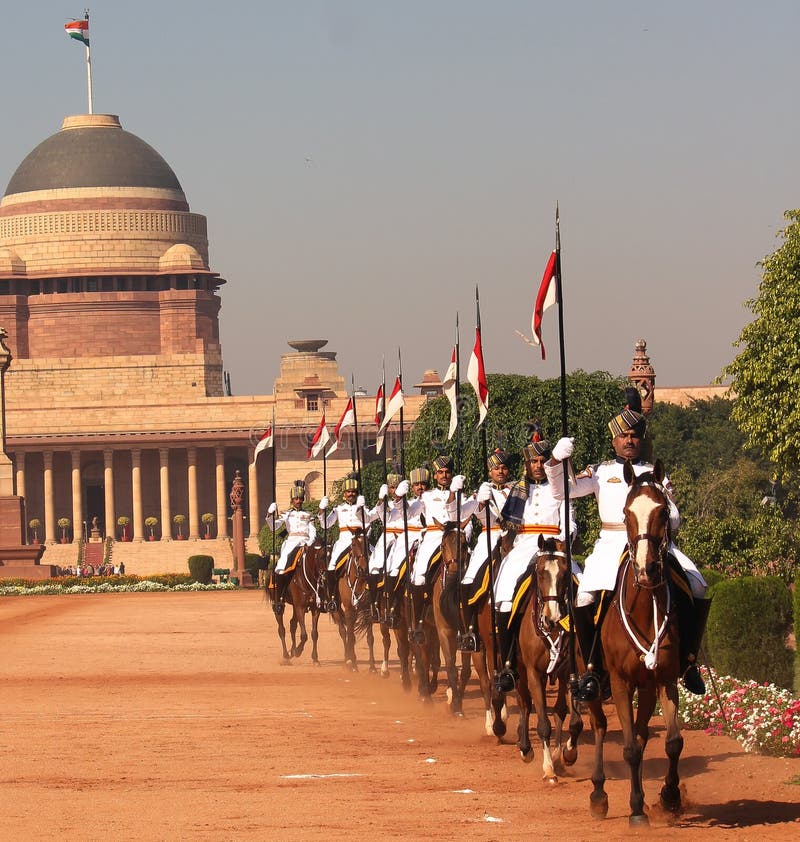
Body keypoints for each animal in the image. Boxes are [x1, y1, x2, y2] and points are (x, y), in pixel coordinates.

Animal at [512, 540, 580, 780]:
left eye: (565, 573)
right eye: (541, 572)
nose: (552, 618)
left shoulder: (568, 672)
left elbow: (572, 719)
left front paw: (566, 754)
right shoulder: (533, 672)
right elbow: (543, 722)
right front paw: (549, 767)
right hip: (522, 671)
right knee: (524, 703)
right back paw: (525, 748)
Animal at [584, 456, 684, 824]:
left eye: (663, 511)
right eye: (627, 512)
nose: (646, 570)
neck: (644, 609)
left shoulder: (665, 677)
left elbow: (671, 742)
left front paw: (669, 796)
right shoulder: (620, 680)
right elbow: (627, 748)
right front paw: (636, 809)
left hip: (648, 684)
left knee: (641, 736)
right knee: (599, 724)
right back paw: (599, 793)